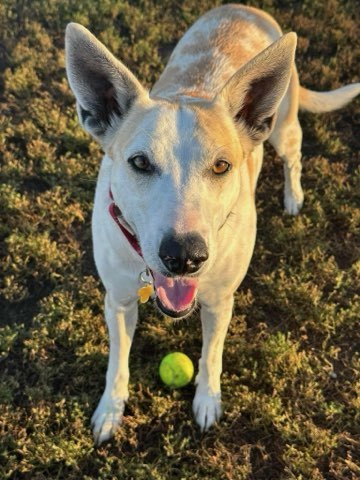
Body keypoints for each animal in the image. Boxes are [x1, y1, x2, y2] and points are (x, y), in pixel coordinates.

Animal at [65, 4, 360, 446]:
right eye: (140, 162)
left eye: (221, 166)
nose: (184, 257)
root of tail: (245, 8)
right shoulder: (117, 300)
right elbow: (117, 362)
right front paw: (110, 411)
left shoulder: (220, 302)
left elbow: (211, 357)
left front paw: (207, 401)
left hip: (284, 128)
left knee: (293, 158)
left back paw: (293, 196)